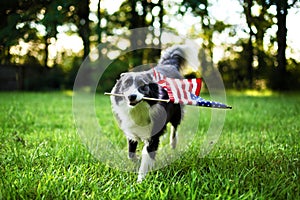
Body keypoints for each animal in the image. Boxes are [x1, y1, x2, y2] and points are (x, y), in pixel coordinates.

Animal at [110, 45, 197, 183]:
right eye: (126, 84)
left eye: (143, 85)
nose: (131, 96)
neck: (138, 108)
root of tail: (169, 65)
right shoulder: (131, 132)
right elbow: (130, 154)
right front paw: (137, 160)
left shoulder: (153, 136)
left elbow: (147, 157)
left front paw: (140, 181)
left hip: (176, 113)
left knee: (174, 127)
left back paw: (173, 144)